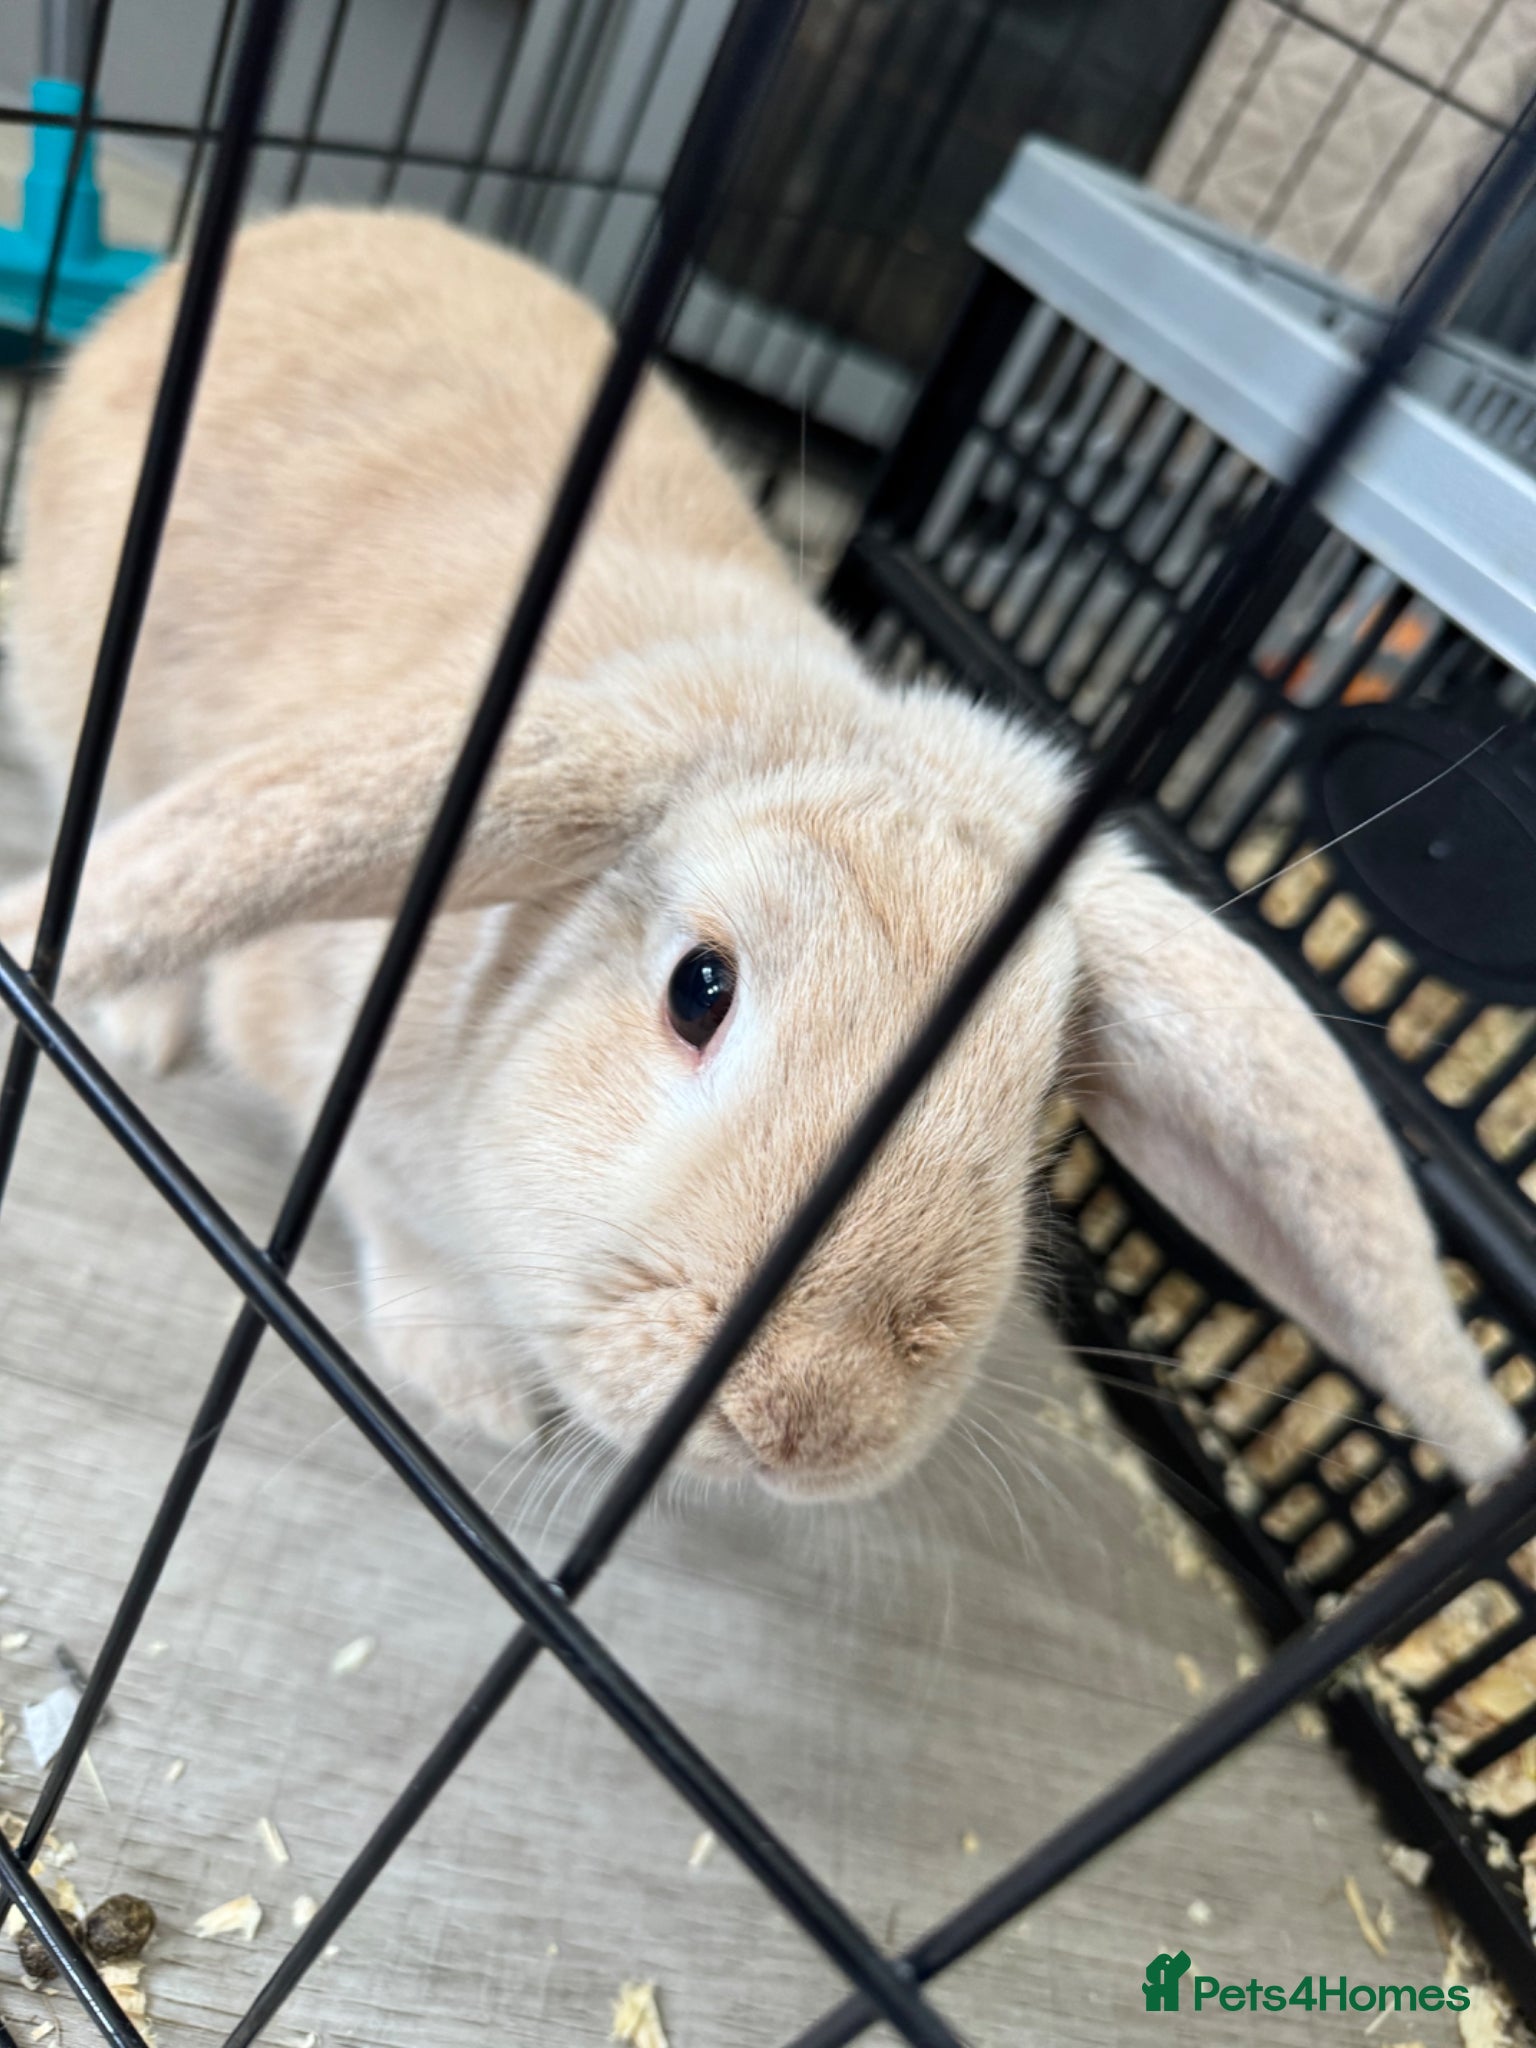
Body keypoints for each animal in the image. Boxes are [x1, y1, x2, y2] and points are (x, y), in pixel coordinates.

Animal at [0, 205, 1522, 1500]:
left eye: (1038, 1103)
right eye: (699, 989)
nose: (804, 1413)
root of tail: (280, 227)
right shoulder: (337, 1082)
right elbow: (406, 1235)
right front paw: (476, 1394)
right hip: (91, 706)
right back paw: (141, 1023)